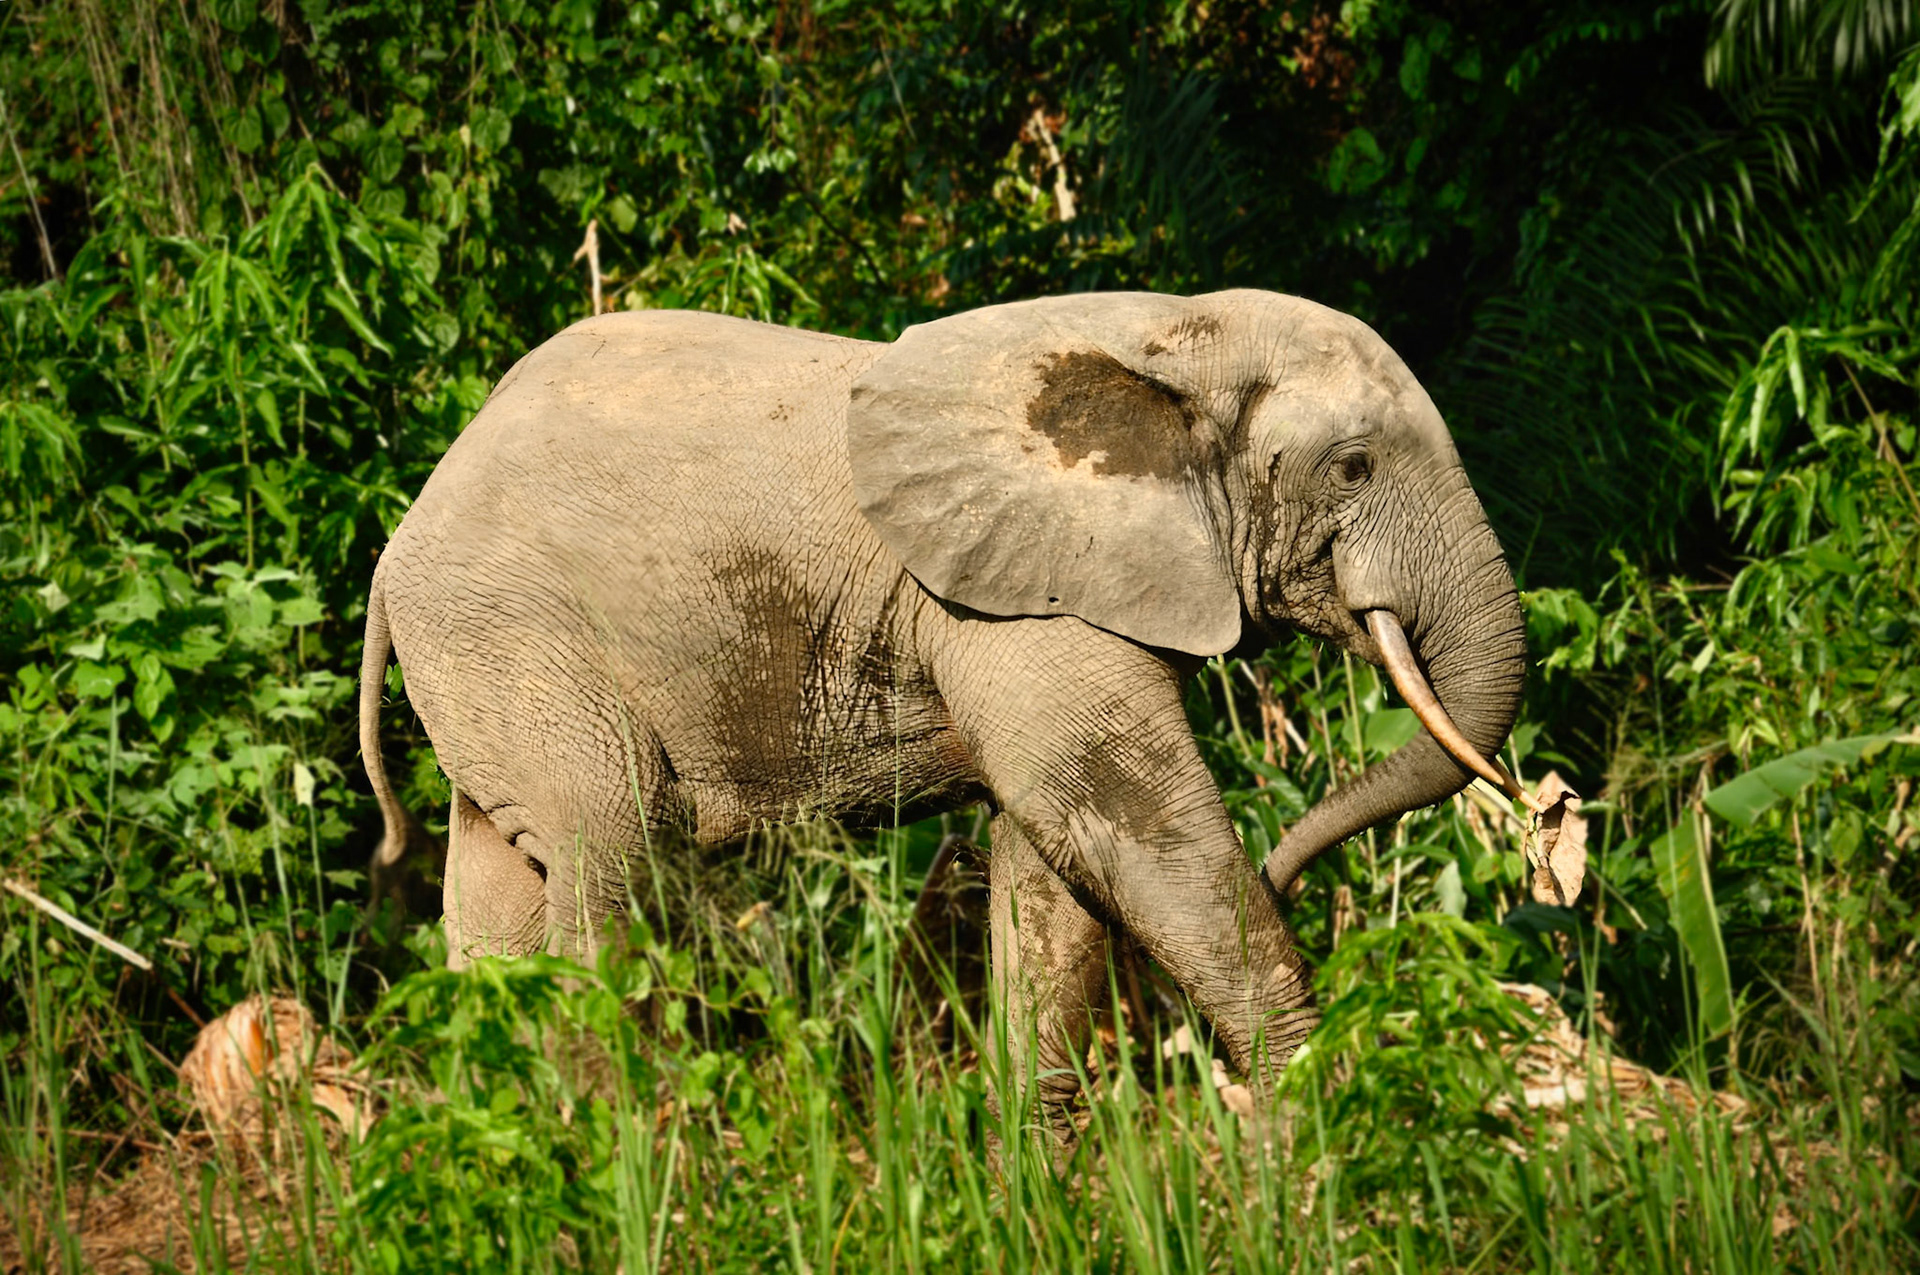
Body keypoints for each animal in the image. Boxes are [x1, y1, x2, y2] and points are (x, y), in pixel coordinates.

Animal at [357, 289, 1526, 1135]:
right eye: (1355, 466)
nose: (1290, 869)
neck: (1171, 334)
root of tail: (399, 540)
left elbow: (1055, 871)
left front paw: (1040, 1173)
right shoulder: (1011, 599)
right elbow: (1135, 827)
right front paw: (1321, 1126)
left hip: (489, 664)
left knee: (500, 895)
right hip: (521, 635)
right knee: (613, 855)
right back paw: (635, 1158)